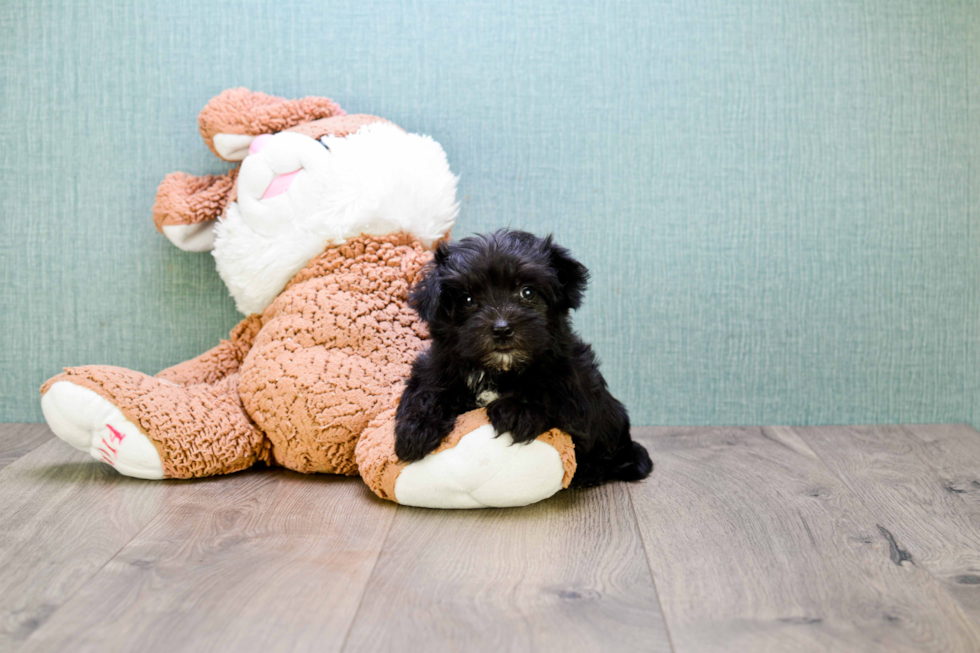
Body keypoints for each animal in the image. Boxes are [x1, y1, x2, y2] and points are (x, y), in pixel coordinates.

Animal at [390, 227, 652, 486]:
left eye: (527, 292)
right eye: (467, 299)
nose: (501, 329)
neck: (499, 370)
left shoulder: (577, 389)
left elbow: (552, 394)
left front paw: (516, 410)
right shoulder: (437, 367)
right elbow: (427, 390)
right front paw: (416, 429)